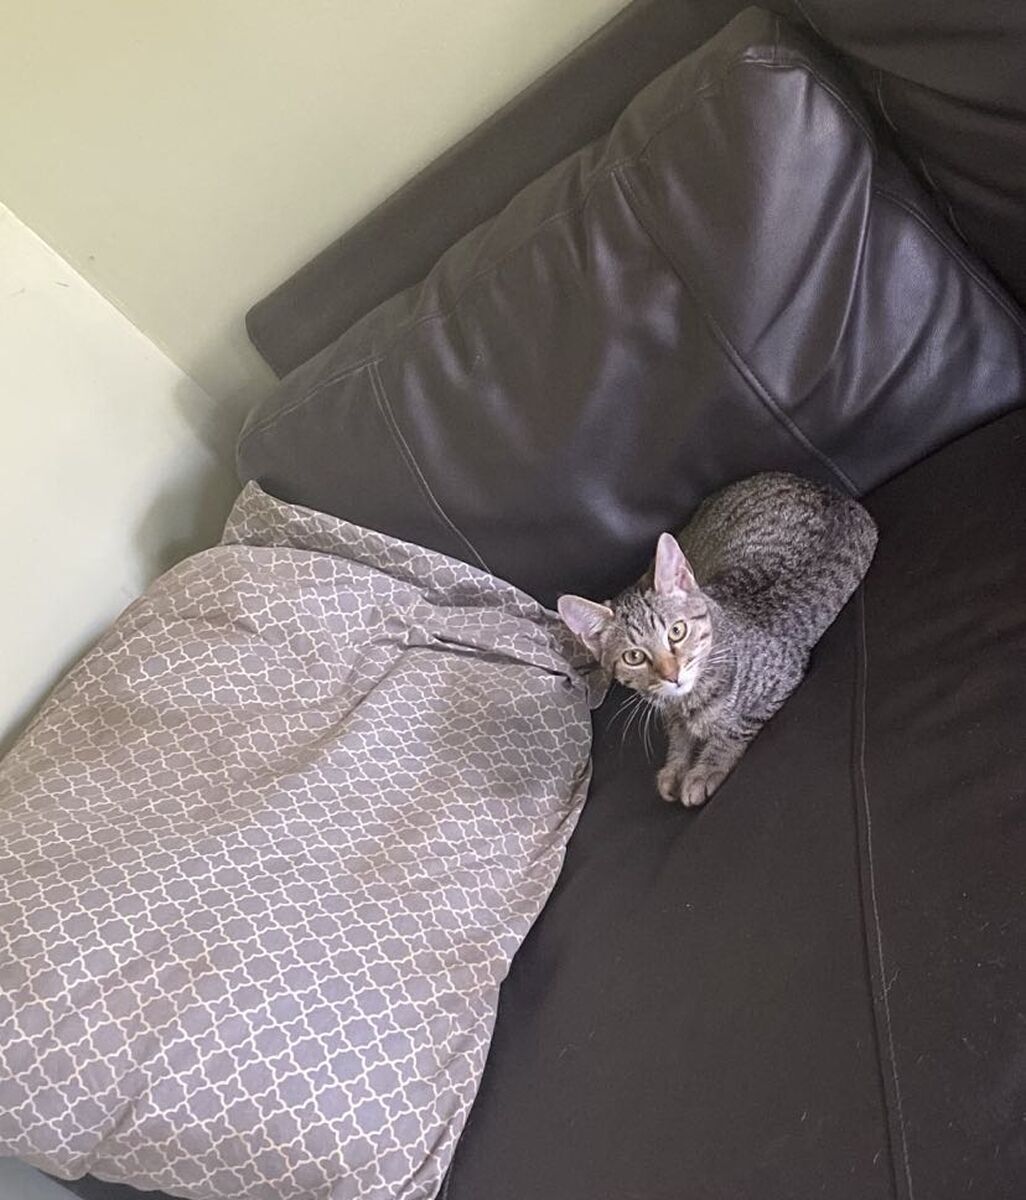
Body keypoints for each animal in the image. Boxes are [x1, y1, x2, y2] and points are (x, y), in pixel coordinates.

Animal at [558, 472, 878, 807]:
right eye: (634, 657)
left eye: (677, 631)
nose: (672, 675)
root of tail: (822, 487)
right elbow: (678, 733)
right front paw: (676, 766)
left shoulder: (783, 677)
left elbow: (735, 727)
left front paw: (705, 769)